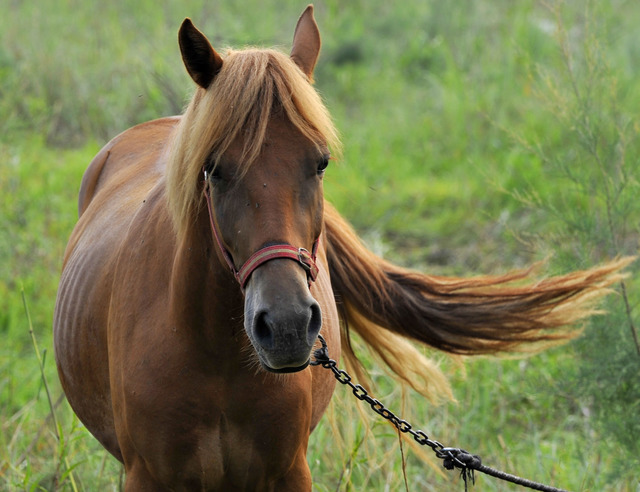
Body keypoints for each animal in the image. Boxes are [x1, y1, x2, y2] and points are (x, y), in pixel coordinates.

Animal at [53, 4, 632, 492]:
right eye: (214, 170)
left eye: (320, 162)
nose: (286, 324)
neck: (215, 357)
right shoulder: (147, 476)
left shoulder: (287, 473)